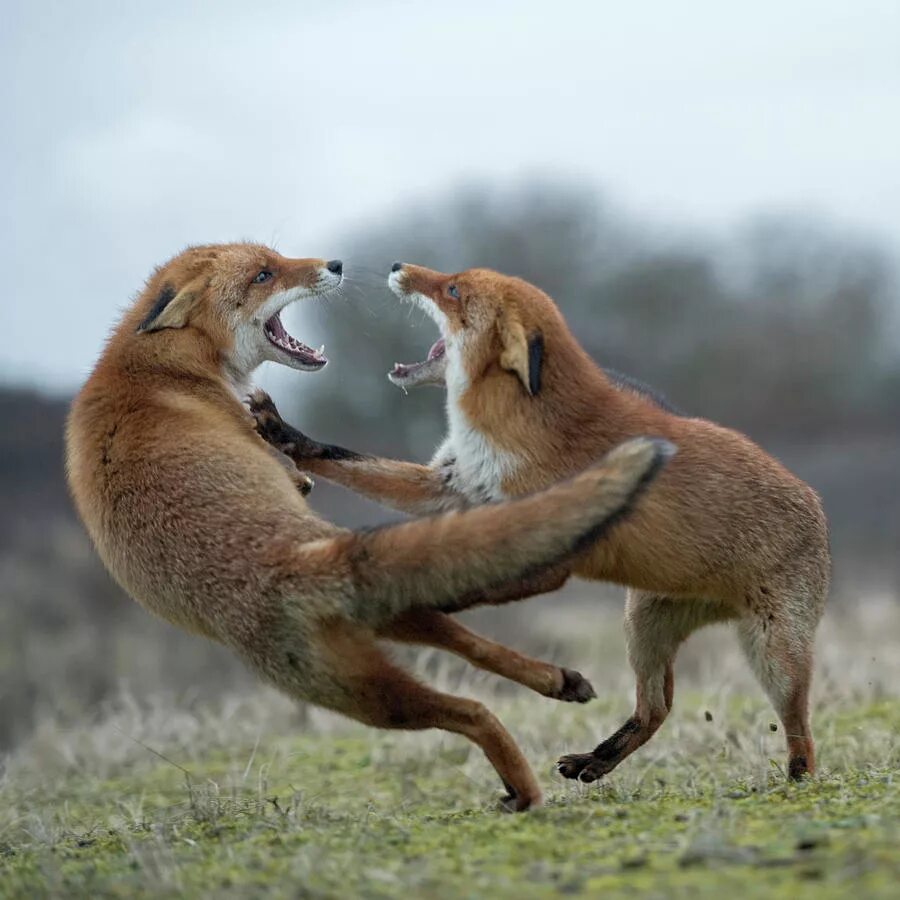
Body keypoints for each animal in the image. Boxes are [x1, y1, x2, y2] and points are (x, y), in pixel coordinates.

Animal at [67, 244, 672, 808]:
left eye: (274, 259)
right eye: (263, 274)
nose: (334, 264)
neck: (158, 364)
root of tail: (294, 562)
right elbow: (290, 466)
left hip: (367, 670)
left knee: (470, 661)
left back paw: (554, 699)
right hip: (365, 689)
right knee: (471, 703)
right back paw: (531, 769)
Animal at [251, 258, 828, 780]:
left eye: (453, 289)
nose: (397, 265)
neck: (507, 428)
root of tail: (816, 501)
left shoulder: (553, 543)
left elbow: (480, 582)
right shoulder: (450, 489)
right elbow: (344, 459)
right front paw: (286, 435)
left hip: (773, 652)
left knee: (798, 722)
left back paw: (798, 775)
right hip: (644, 627)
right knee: (656, 709)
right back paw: (596, 761)